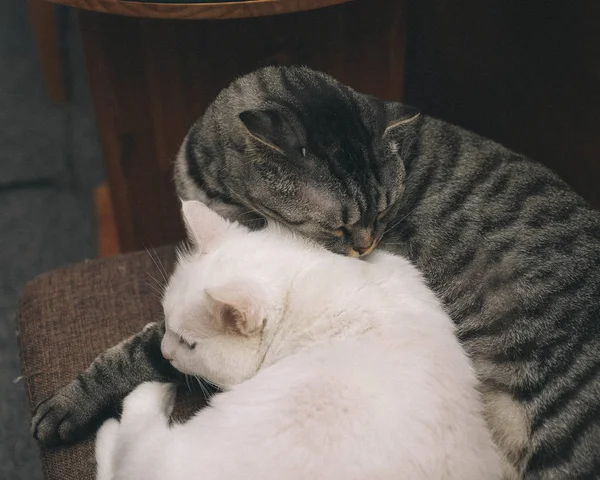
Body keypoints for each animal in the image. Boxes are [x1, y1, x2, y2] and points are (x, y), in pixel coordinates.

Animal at [94, 201, 502, 480]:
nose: (164, 352)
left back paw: (137, 404)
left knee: (127, 446)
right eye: (165, 322)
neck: (303, 290)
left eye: (189, 344)